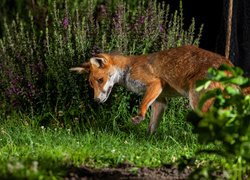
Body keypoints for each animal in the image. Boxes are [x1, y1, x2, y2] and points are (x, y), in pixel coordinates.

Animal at [70, 45, 244, 133]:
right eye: (91, 85)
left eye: (101, 80)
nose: (96, 100)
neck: (128, 68)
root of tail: (228, 64)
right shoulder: (160, 100)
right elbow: (152, 127)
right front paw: (148, 141)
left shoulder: (155, 84)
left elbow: (142, 104)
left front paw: (139, 116)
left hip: (198, 103)